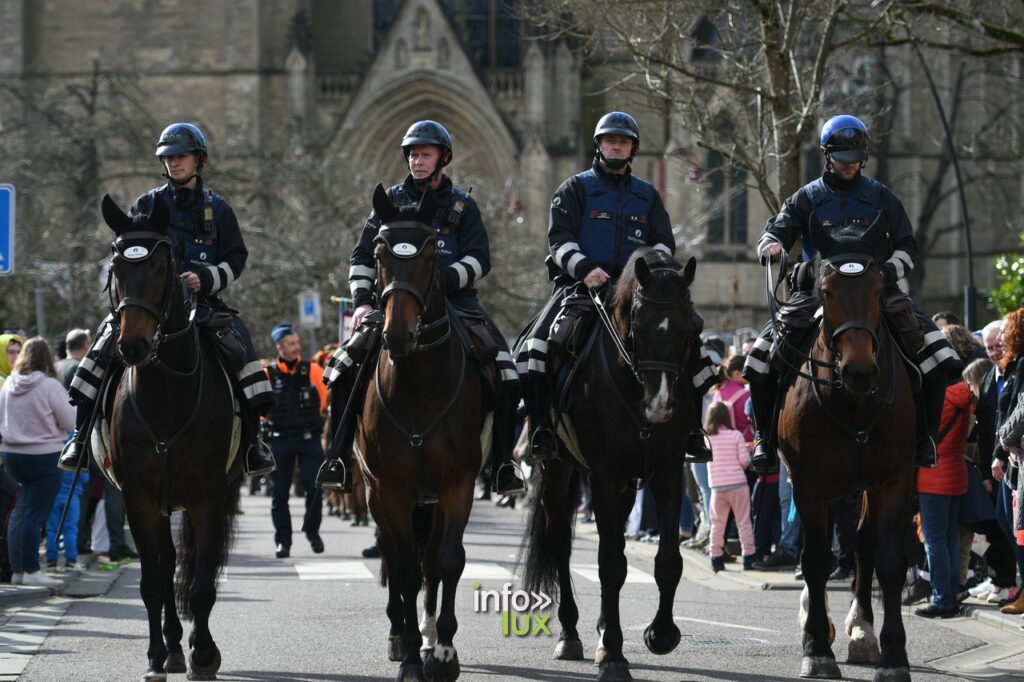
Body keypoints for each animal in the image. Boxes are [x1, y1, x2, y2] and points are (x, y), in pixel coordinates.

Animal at [100, 192, 239, 679]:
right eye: (116, 267)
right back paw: (174, 648)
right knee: (165, 566)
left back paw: (192, 647)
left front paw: (205, 655)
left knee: (192, 566)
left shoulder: (208, 496)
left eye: (162, 266)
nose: (132, 346)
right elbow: (152, 582)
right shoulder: (138, 498)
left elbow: (199, 583)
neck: (165, 395)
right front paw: (156, 657)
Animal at [356, 182, 487, 679]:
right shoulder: (389, 489)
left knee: (429, 558)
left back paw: (431, 637)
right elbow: (407, 569)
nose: (396, 334)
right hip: (381, 496)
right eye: (379, 251)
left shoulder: (457, 485)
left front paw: (443, 651)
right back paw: (401, 636)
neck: (419, 386)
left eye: (431, 252)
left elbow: (446, 560)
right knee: (396, 557)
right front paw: (411, 657)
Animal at [520, 249, 704, 679]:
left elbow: (667, 560)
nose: (659, 408)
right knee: (561, 544)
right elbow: (610, 564)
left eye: (690, 328)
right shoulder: (605, 475)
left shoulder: (667, 472)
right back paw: (570, 633)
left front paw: (661, 633)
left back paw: (603, 628)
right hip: (559, 471)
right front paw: (615, 655)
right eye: (638, 324)